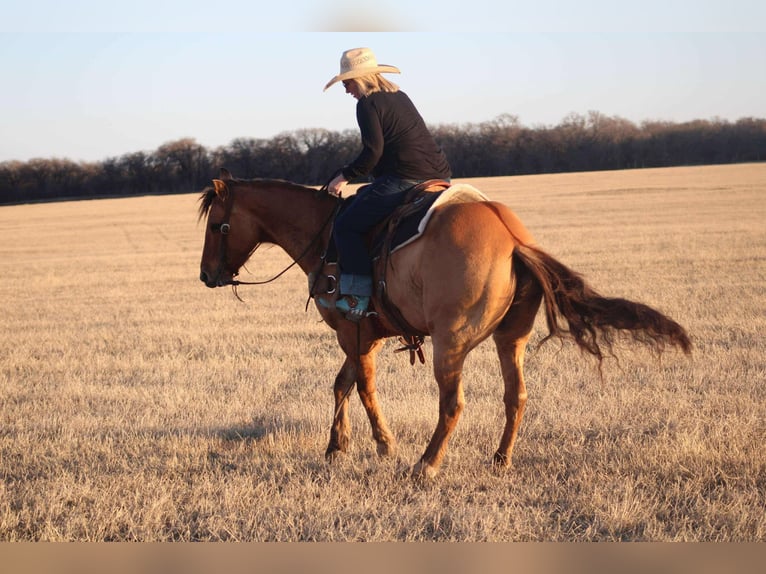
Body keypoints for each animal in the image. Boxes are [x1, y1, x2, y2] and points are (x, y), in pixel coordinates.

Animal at [195, 170, 692, 482]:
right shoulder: (365, 336)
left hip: (449, 345)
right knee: (516, 396)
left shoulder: (353, 333)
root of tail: (511, 239)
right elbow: (343, 384)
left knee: (453, 404)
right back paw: (500, 459)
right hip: (511, 339)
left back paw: (427, 465)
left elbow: (361, 386)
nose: (206, 275)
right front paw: (338, 446)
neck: (325, 235)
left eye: (218, 225)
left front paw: (383, 444)